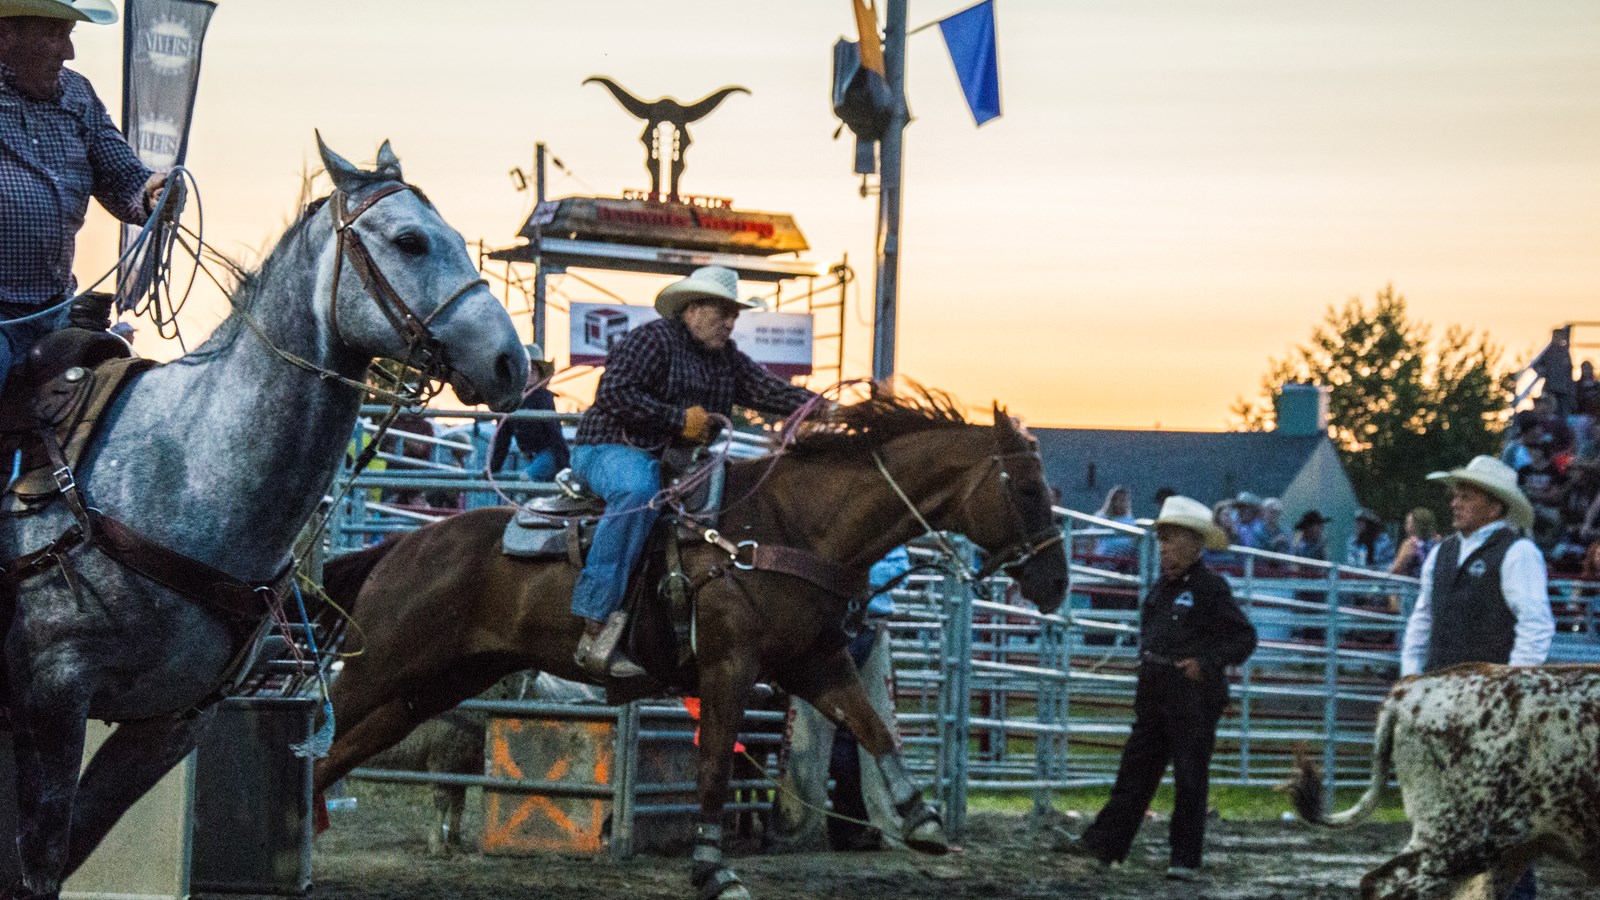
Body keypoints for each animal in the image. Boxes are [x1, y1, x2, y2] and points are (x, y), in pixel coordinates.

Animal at [0, 136, 524, 890]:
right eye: (410, 240)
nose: (513, 361)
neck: (186, 468)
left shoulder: (169, 722)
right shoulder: (53, 696)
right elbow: (39, 865)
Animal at [312, 393, 1068, 896]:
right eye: (1029, 489)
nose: (1058, 584)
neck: (787, 527)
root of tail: (401, 547)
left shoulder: (814, 662)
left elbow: (875, 727)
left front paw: (922, 820)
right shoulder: (730, 667)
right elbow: (711, 770)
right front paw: (711, 866)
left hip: (431, 688)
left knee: (340, 749)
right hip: (382, 667)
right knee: (321, 725)